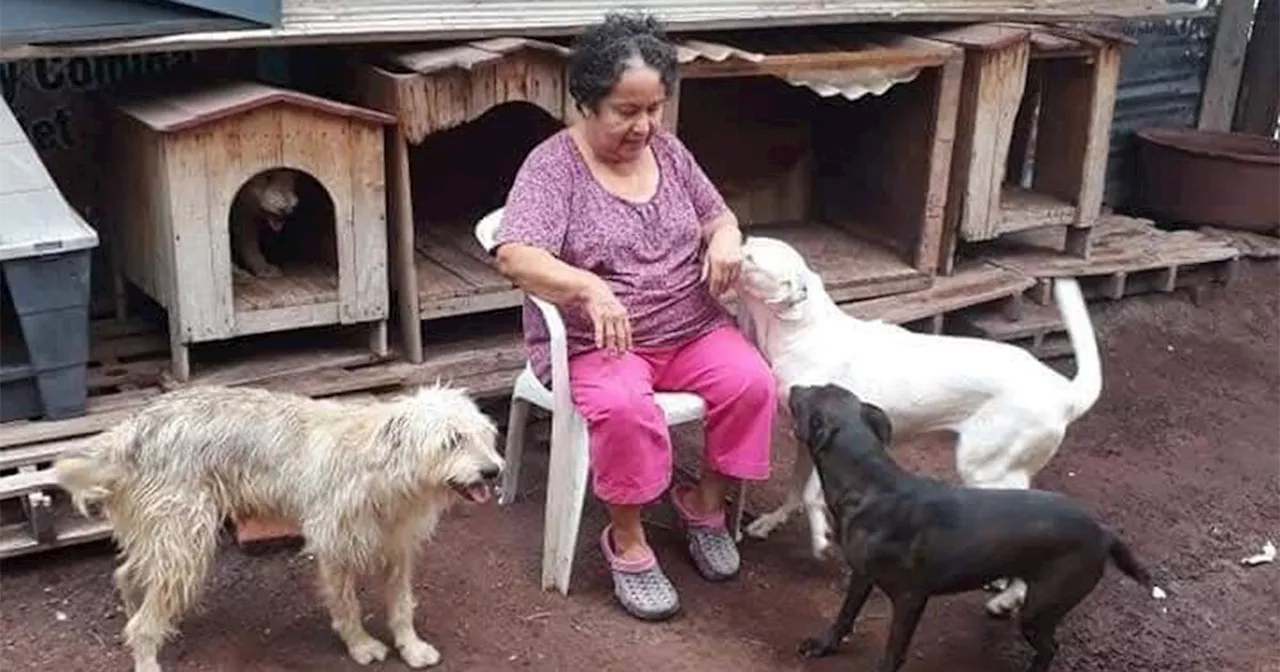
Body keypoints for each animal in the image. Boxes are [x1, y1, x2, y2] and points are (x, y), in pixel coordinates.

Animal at [55, 381, 504, 670]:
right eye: (451, 441)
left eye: (485, 436)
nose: (493, 471)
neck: (384, 470)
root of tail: (130, 429)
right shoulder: (335, 549)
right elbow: (347, 605)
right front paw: (359, 645)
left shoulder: (397, 549)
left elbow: (401, 606)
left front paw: (411, 648)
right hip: (184, 541)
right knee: (144, 616)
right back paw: (147, 654)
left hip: (164, 537)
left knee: (128, 575)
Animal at [783, 381, 1167, 670]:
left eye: (807, 396)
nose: (794, 385)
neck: (869, 484)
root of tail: (1104, 532)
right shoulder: (862, 575)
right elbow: (845, 615)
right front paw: (824, 645)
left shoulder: (911, 599)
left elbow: (894, 652)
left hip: (1041, 609)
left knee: (1049, 649)